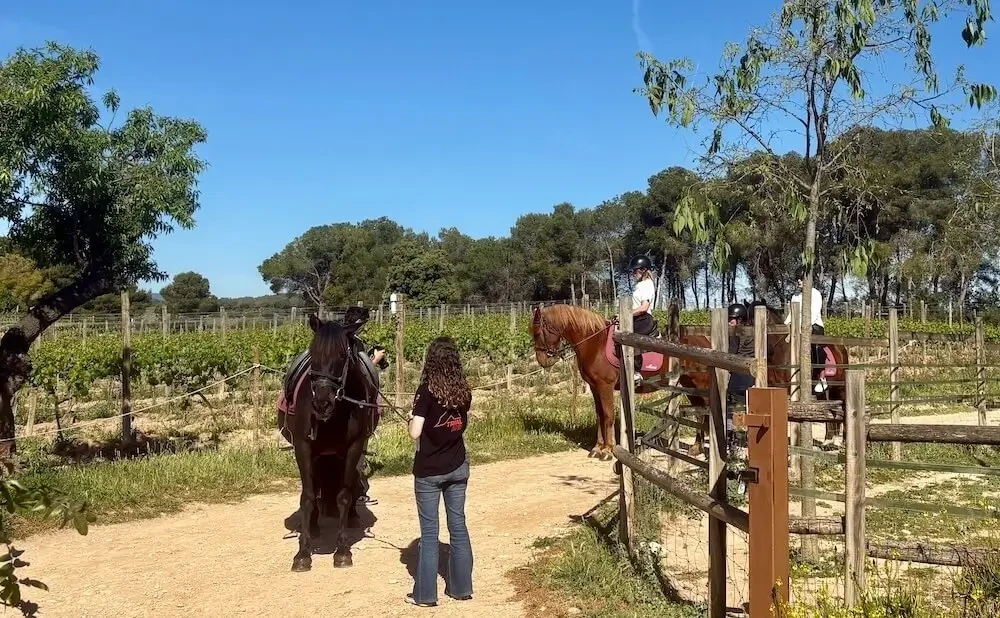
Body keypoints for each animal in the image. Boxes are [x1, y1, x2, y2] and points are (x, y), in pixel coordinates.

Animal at [276, 313, 379, 572]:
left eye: (342, 356)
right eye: (314, 354)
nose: (322, 403)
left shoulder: (353, 448)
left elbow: (344, 494)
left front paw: (342, 551)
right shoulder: (303, 448)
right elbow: (308, 496)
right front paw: (303, 553)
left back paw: (351, 516)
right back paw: (312, 525)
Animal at [530, 303, 713, 460]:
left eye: (538, 333)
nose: (542, 361)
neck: (594, 343)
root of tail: (705, 342)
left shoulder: (605, 386)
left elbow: (608, 415)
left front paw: (608, 451)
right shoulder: (595, 387)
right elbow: (600, 415)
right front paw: (597, 448)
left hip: (701, 385)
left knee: (706, 412)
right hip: (689, 386)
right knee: (699, 413)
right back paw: (696, 448)